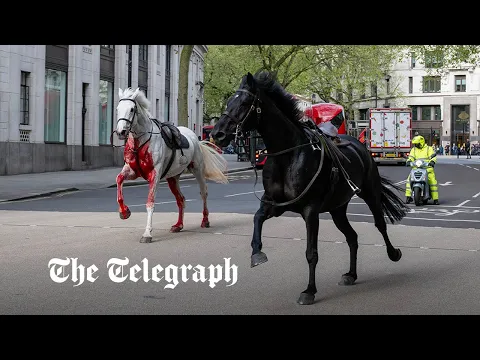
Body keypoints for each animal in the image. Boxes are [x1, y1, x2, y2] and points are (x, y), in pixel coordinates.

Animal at [116, 87, 229, 243]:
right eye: (117, 109)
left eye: (132, 109)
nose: (120, 132)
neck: (142, 141)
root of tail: (195, 138)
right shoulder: (132, 171)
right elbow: (119, 180)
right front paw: (124, 212)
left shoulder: (154, 175)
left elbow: (150, 202)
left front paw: (147, 233)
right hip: (173, 177)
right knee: (181, 199)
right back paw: (178, 225)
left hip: (197, 169)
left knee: (203, 193)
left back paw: (205, 220)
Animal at [210, 70, 408, 304]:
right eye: (229, 101)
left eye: (244, 103)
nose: (217, 134)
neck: (287, 156)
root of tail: (358, 144)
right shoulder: (274, 205)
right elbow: (256, 219)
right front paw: (257, 253)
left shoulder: (310, 211)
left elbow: (311, 253)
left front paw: (309, 290)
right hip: (337, 208)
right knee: (352, 237)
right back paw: (351, 274)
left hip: (370, 193)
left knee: (380, 224)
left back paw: (393, 253)